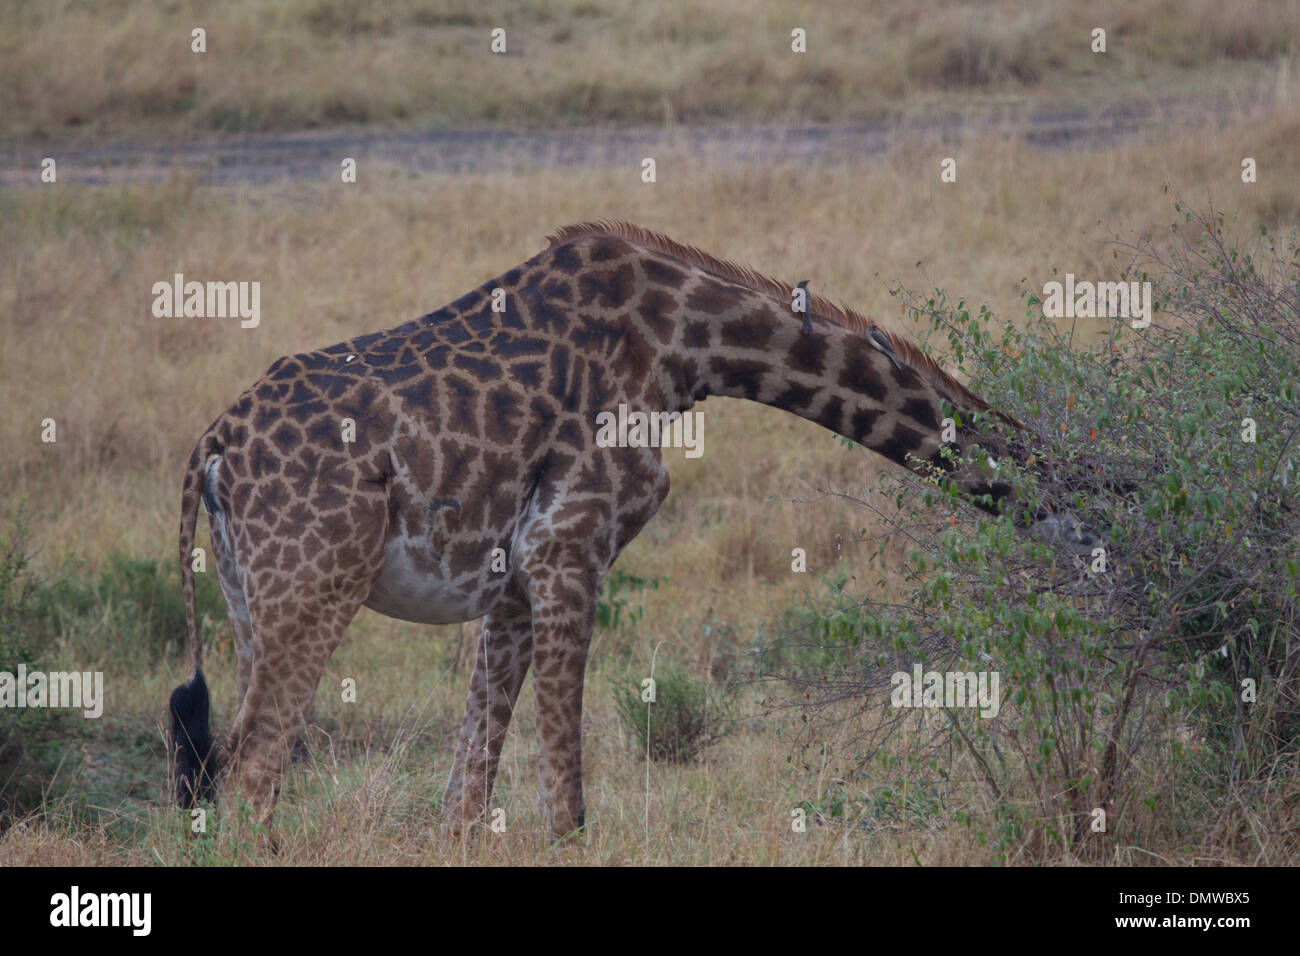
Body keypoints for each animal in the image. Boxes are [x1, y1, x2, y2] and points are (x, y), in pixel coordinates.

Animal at [167, 218, 1092, 842]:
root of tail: (210, 446)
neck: (687, 347)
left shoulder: (513, 579)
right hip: (315, 587)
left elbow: (467, 797)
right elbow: (566, 808)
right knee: (251, 773)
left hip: (250, 600)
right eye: (1090, 494)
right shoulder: (569, 548)